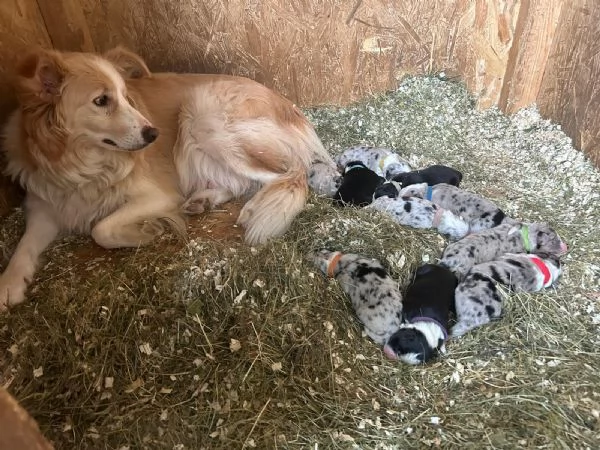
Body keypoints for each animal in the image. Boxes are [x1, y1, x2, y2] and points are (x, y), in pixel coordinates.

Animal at [0, 48, 332, 310]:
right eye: (101, 100)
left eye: (127, 98)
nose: (154, 134)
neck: (81, 168)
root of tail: (290, 108)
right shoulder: (44, 205)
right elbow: (25, 245)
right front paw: (9, 282)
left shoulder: (158, 195)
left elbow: (100, 228)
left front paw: (146, 232)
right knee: (242, 182)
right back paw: (204, 200)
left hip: (203, 115)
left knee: (288, 174)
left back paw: (251, 208)